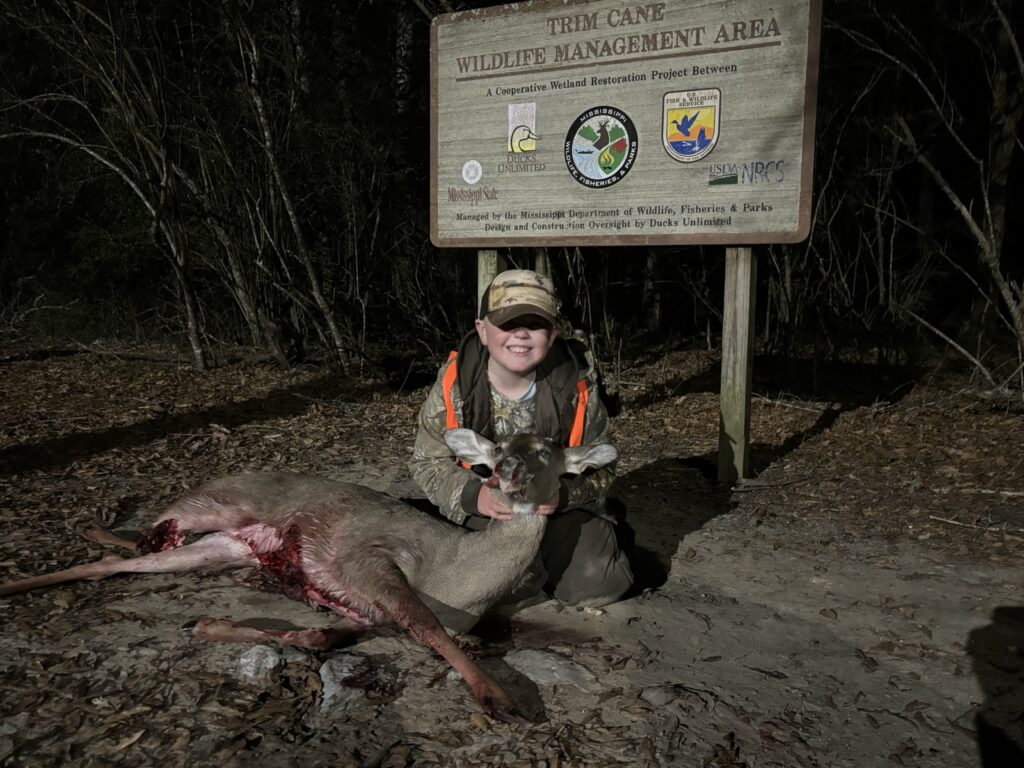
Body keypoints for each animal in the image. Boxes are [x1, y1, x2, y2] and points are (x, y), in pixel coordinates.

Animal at [0, 429, 618, 724]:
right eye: (496, 449)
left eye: (546, 451)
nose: (508, 471)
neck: (456, 576)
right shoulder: (368, 559)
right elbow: (427, 626)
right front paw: (499, 698)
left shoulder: (367, 614)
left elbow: (320, 636)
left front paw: (207, 625)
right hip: (214, 504)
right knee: (144, 536)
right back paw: (33, 571)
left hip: (225, 548)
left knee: (133, 556)